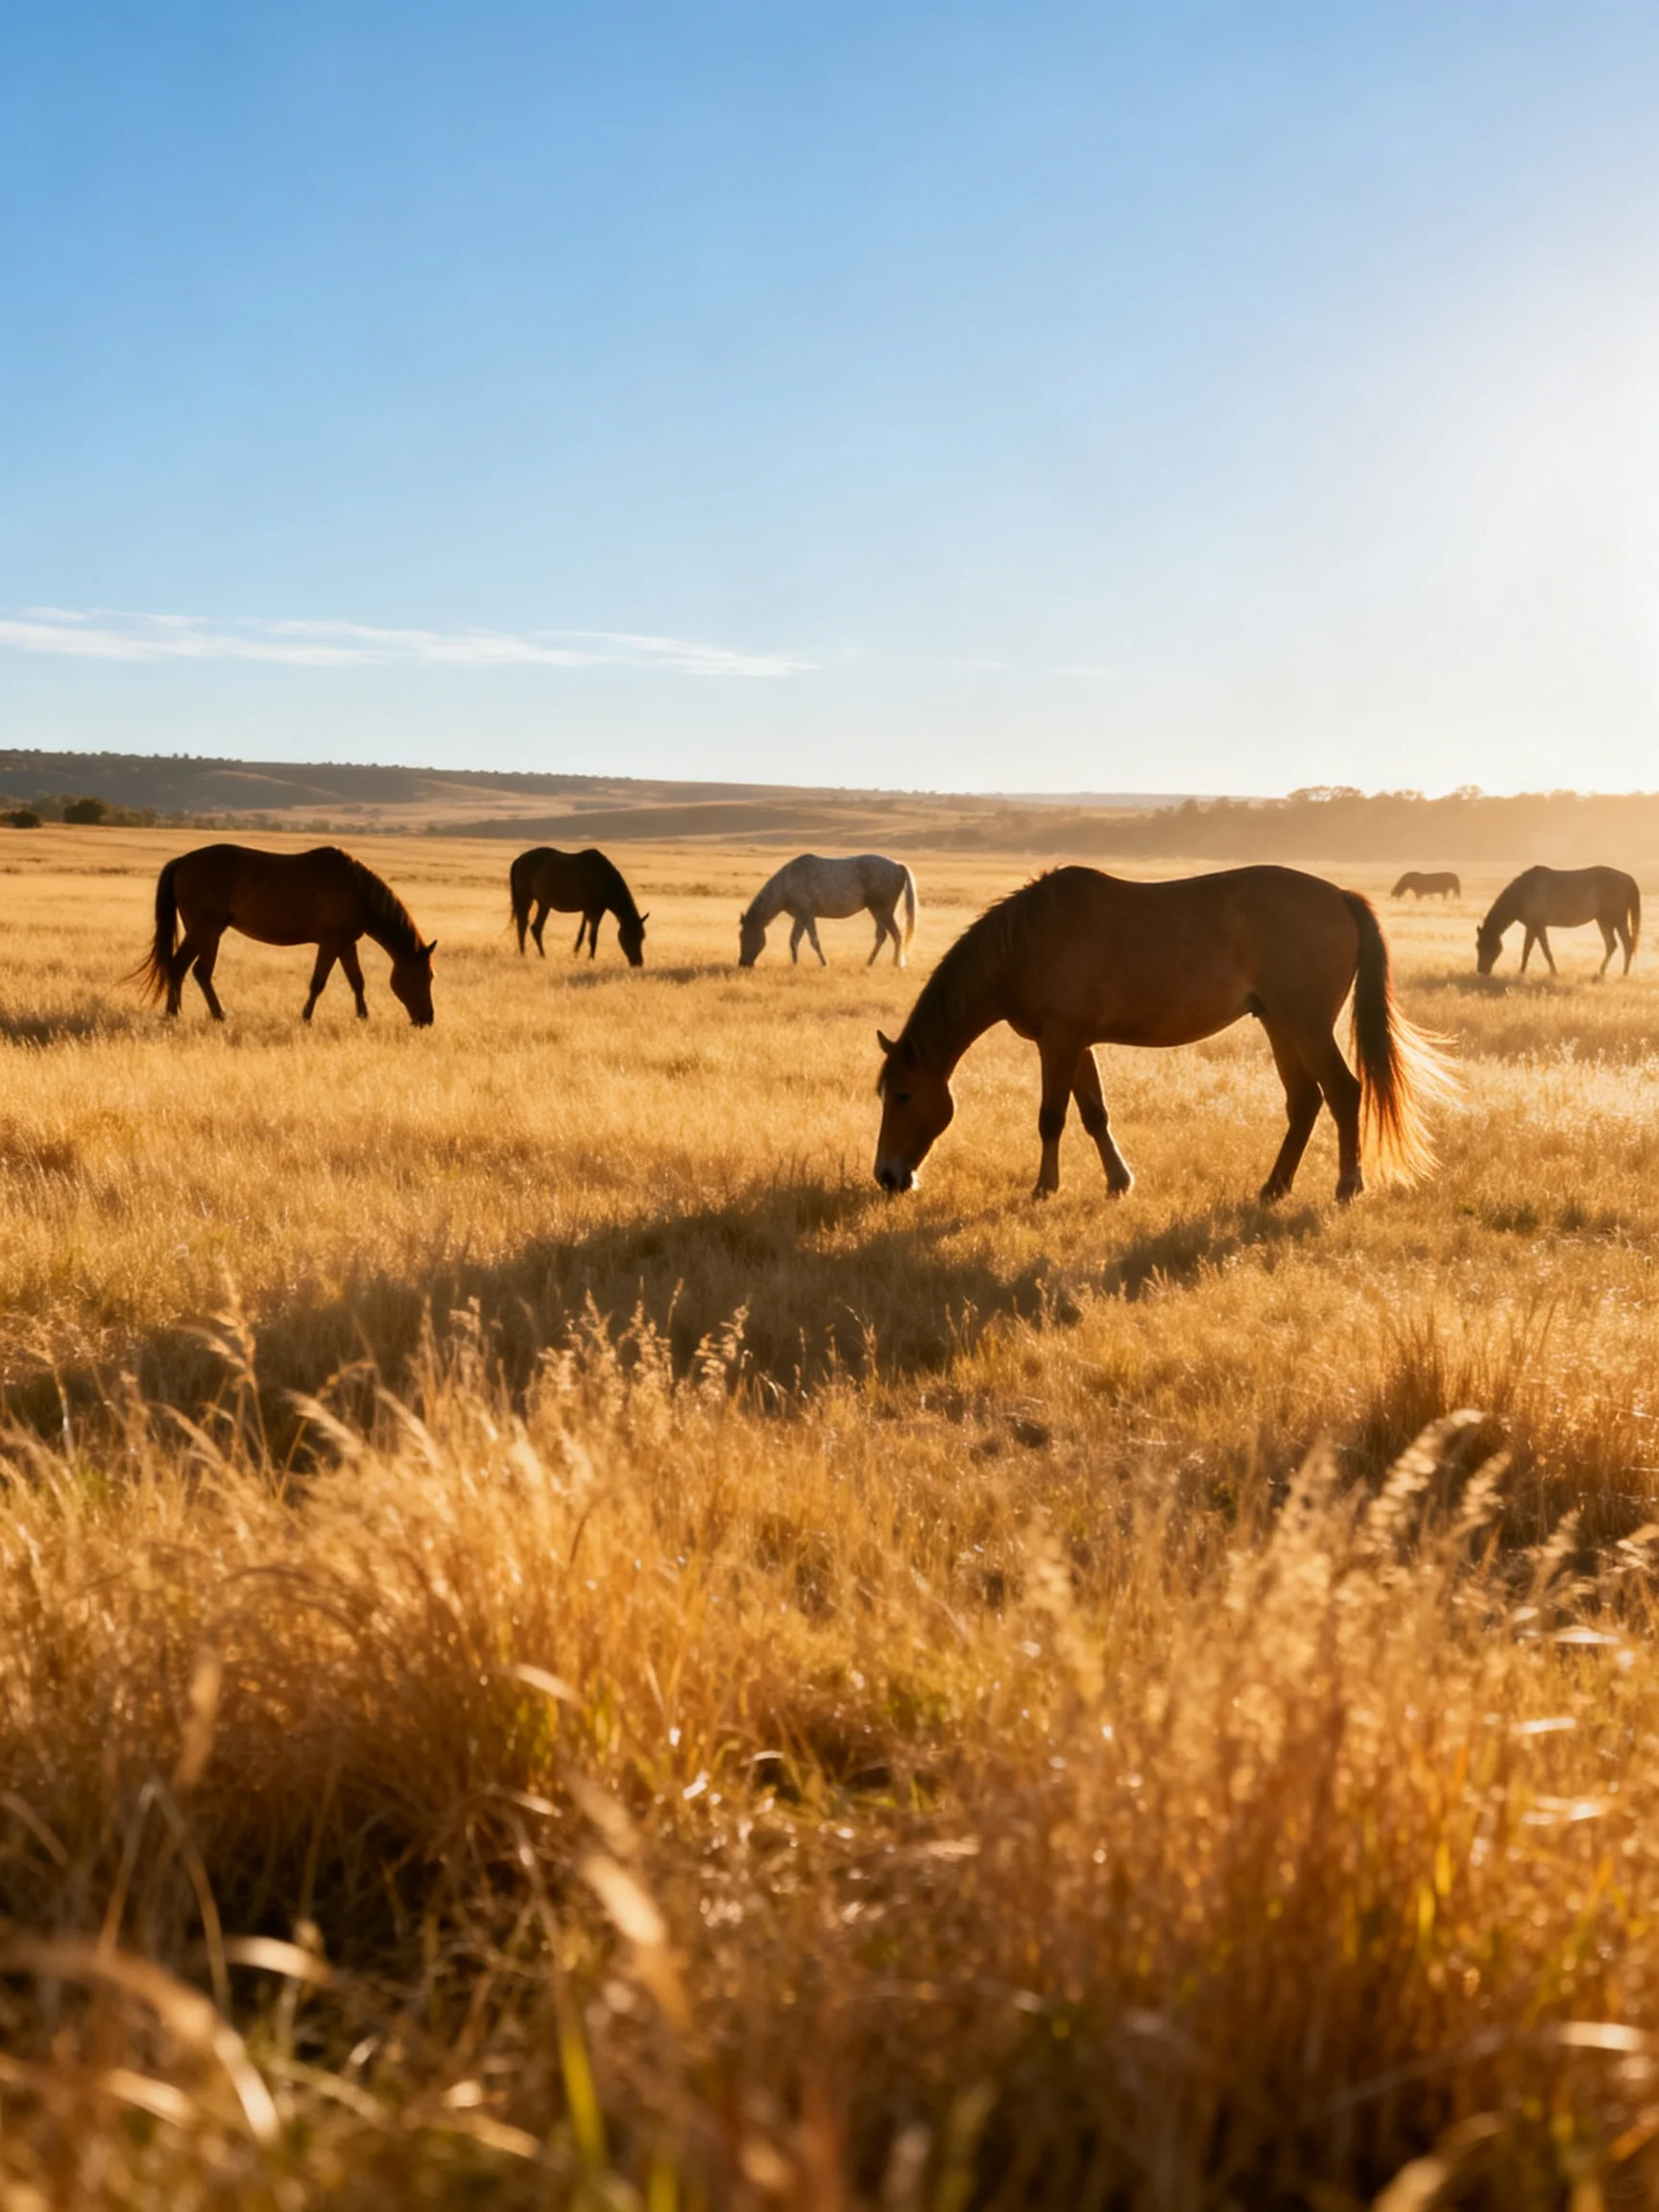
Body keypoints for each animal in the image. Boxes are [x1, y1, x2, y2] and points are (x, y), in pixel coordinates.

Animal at [134, 845, 436, 1025]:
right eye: (426, 976)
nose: (427, 1019)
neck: (357, 890)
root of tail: (182, 862)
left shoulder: (346, 943)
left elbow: (357, 981)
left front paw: (363, 1016)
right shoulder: (331, 943)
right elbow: (318, 983)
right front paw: (306, 1017)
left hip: (212, 933)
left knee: (200, 972)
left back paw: (218, 1015)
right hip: (202, 930)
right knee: (178, 966)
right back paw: (173, 1014)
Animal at [509, 847, 647, 966]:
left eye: (642, 936)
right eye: (630, 936)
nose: (638, 963)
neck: (603, 878)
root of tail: (519, 859)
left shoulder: (589, 910)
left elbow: (582, 932)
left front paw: (575, 953)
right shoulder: (595, 910)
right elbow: (592, 936)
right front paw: (591, 958)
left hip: (543, 904)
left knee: (535, 928)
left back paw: (542, 955)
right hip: (525, 899)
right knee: (523, 925)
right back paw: (524, 954)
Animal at [739, 853, 917, 968]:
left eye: (744, 936)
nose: (743, 964)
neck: (787, 883)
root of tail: (898, 866)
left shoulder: (806, 915)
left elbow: (808, 940)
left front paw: (820, 963)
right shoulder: (802, 916)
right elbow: (798, 940)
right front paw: (796, 964)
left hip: (883, 910)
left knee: (896, 934)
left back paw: (895, 964)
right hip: (876, 910)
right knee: (882, 935)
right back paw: (869, 963)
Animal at [873, 865, 1453, 1207]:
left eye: (903, 1095)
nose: (887, 1175)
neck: (1025, 942)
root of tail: (1340, 896)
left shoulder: (1058, 1041)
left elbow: (1051, 1118)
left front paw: (1044, 1188)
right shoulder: (1077, 1043)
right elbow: (1095, 1114)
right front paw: (1118, 1182)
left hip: (1304, 1024)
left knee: (1343, 1092)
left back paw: (1347, 1186)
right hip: (1279, 1024)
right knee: (1305, 1101)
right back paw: (1273, 1187)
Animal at [1475, 865, 1640, 977]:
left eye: (1489, 947)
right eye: (1478, 946)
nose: (1482, 971)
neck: (1524, 892)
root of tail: (1628, 879)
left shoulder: (1534, 925)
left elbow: (1530, 949)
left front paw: (1522, 972)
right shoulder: (1538, 926)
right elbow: (1544, 950)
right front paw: (1552, 971)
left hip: (1618, 919)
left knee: (1627, 944)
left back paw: (1624, 974)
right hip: (1604, 920)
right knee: (1612, 945)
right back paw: (1601, 972)